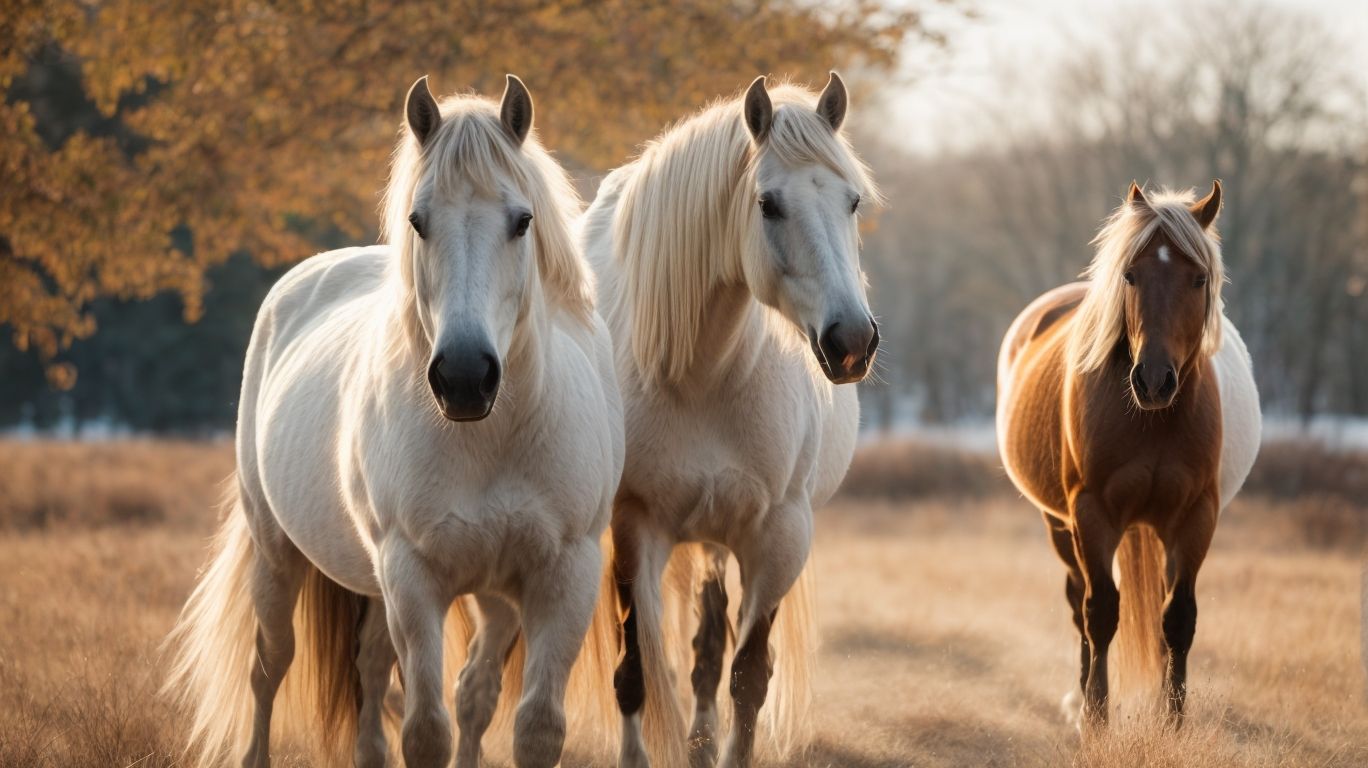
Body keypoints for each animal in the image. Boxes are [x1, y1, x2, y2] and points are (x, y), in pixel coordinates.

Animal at [164, 74, 624, 768]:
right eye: (417, 221)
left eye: (522, 222)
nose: (464, 377)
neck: (491, 440)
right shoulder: (413, 578)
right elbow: (426, 729)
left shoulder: (560, 577)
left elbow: (530, 724)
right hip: (280, 554)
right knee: (270, 668)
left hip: (444, 594)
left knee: (401, 675)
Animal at [579, 73, 881, 768]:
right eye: (768, 204)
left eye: (852, 200)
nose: (851, 342)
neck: (705, 374)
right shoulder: (634, 529)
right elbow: (636, 673)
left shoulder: (778, 537)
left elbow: (746, 677)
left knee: (712, 648)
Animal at [996, 181, 1261, 729]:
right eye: (1130, 275)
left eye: (1199, 278)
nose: (1154, 381)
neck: (1155, 421)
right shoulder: (1091, 513)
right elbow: (1100, 612)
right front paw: (1096, 718)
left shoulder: (1196, 517)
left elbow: (1177, 618)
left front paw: (1173, 722)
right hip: (1060, 523)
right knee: (1078, 601)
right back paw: (1077, 703)